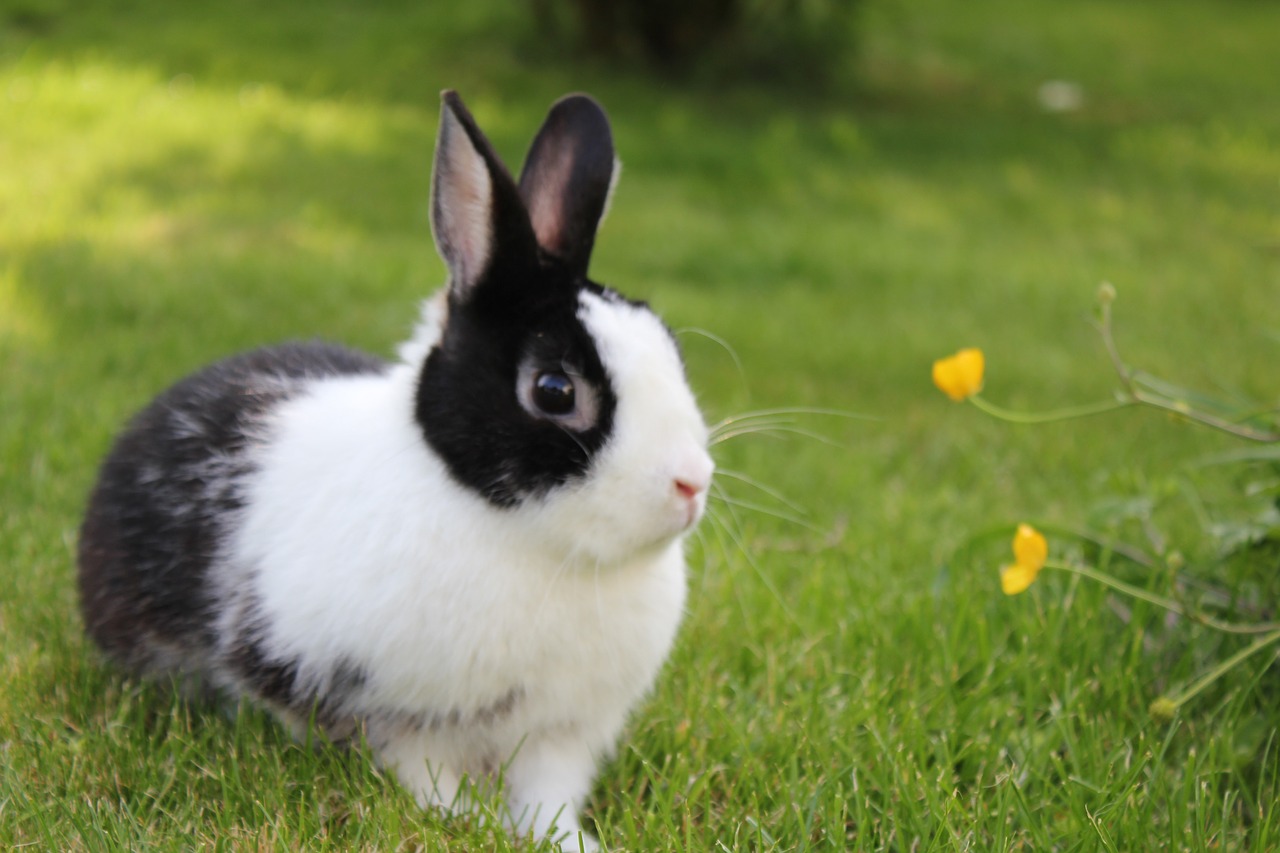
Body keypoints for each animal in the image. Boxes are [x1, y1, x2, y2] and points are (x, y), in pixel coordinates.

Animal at [74, 89, 716, 845]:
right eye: (554, 390)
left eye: (669, 346)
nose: (692, 482)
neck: (530, 541)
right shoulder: (389, 716)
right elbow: (423, 773)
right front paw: (466, 822)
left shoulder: (560, 734)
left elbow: (547, 795)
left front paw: (566, 841)